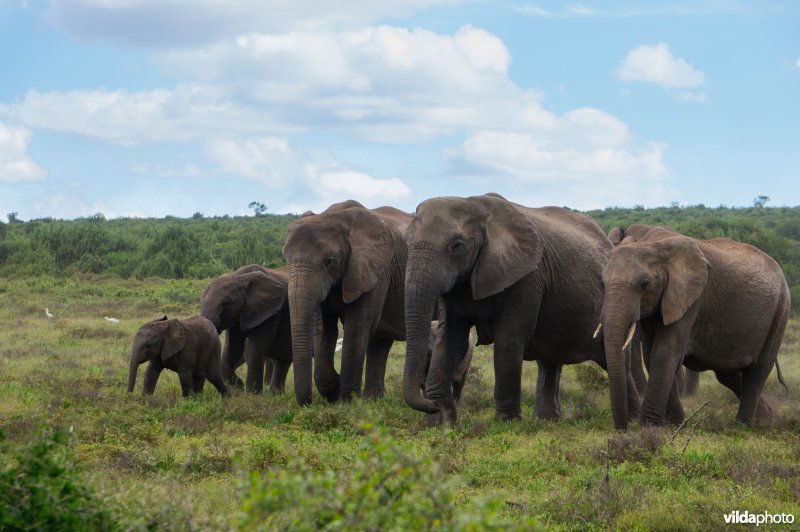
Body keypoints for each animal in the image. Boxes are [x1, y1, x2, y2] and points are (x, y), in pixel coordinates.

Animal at [202, 264, 292, 392]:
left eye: (226, 303)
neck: (239, 278)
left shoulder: (270, 312)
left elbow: (256, 349)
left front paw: (252, 393)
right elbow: (232, 348)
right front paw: (239, 386)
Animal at [282, 202, 412, 406]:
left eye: (329, 261)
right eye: (285, 259)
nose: (307, 402)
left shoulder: (374, 271)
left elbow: (357, 326)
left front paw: (347, 402)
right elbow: (324, 330)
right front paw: (333, 390)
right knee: (380, 342)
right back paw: (371, 401)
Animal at [400, 193, 636, 422]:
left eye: (457, 245)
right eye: (407, 241)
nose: (431, 403)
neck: (477, 206)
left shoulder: (527, 275)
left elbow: (507, 341)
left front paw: (505, 423)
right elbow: (450, 340)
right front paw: (438, 422)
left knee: (614, 362)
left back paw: (634, 421)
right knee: (550, 361)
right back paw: (546, 420)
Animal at [596, 223, 792, 428]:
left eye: (644, 284)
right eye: (603, 281)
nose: (623, 429)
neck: (652, 242)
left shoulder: (691, 299)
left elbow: (665, 352)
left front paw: (649, 428)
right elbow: (651, 354)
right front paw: (675, 424)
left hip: (780, 310)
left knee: (757, 372)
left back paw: (743, 425)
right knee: (728, 374)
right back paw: (765, 416)